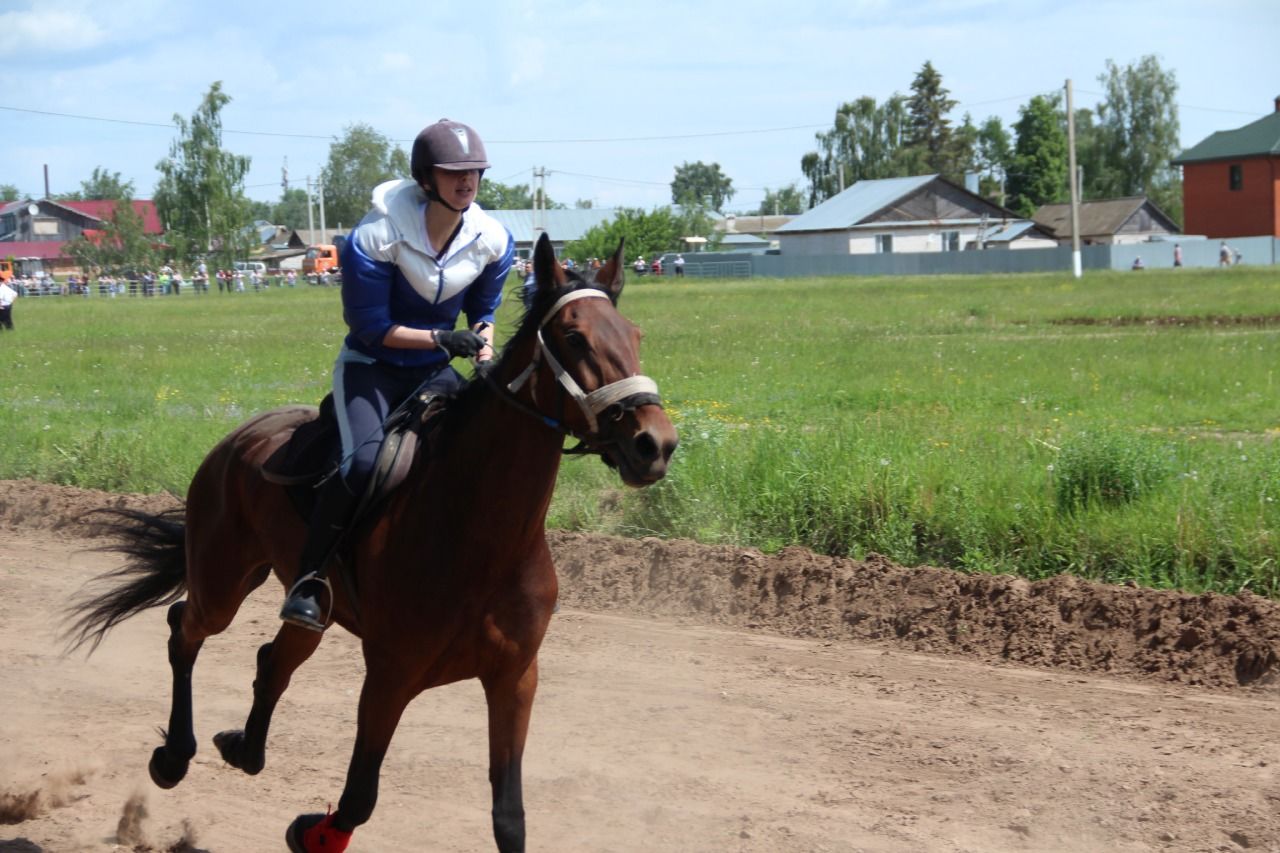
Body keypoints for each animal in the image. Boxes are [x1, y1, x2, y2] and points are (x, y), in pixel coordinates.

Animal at [67, 229, 680, 845]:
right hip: (222, 582)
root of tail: (238, 437)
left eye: (634, 335)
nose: (655, 443)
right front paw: (309, 832)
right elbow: (359, 798)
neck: (482, 537)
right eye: (574, 336)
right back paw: (174, 755)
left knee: (273, 658)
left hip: (311, 605)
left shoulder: (515, 679)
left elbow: (509, 820)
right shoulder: (390, 676)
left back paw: (246, 748)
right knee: (185, 629)